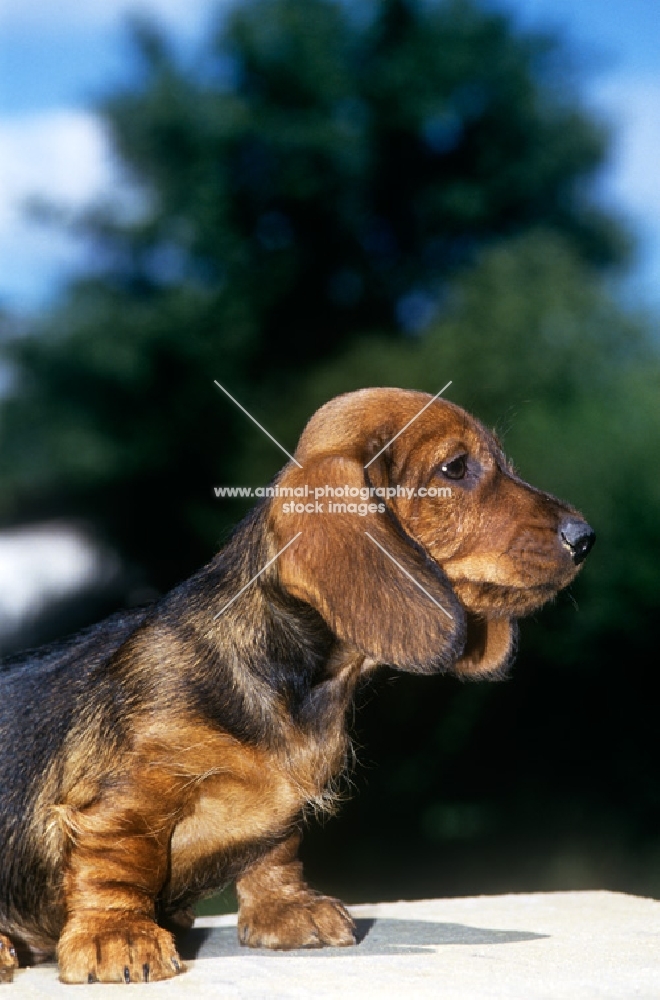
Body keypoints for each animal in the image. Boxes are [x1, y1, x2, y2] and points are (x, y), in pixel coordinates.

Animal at [0, 390, 596, 984]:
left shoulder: (278, 819)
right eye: (454, 468)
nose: (586, 537)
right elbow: (117, 861)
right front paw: (117, 935)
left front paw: (286, 909)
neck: (298, 682)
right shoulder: (129, 793)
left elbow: (276, 853)